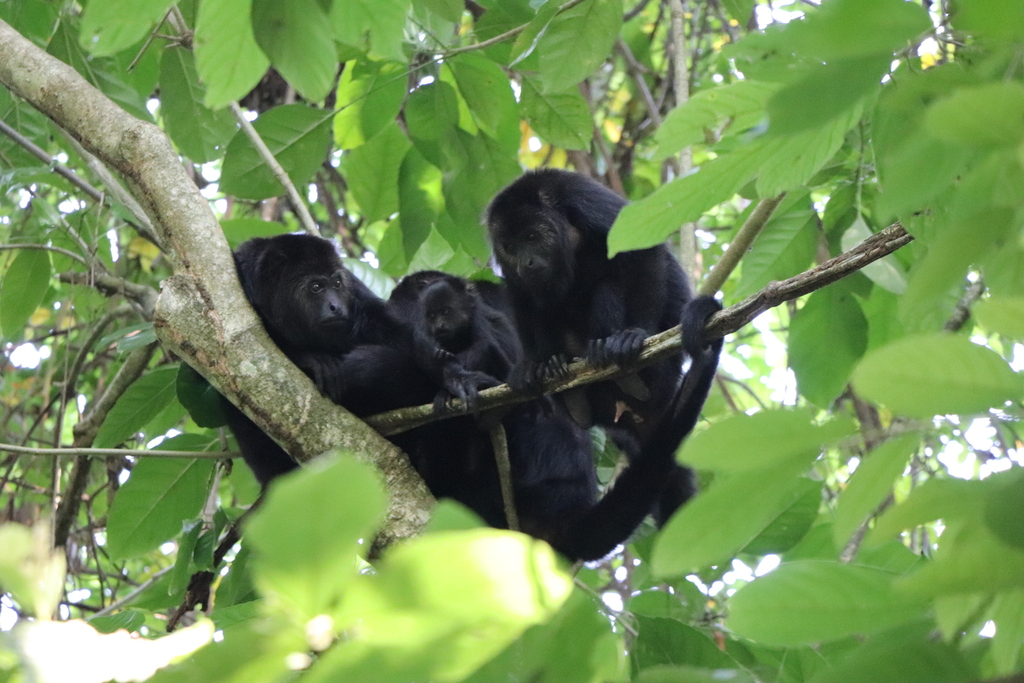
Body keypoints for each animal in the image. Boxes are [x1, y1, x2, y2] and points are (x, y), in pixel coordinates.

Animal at [485, 168, 723, 525]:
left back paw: (622, 366)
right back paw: (566, 388)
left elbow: (640, 248)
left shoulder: (581, 196)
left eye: (532, 236)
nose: (525, 262)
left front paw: (635, 334)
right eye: (509, 246)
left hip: (661, 376)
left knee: (607, 286)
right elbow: (520, 294)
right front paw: (532, 366)